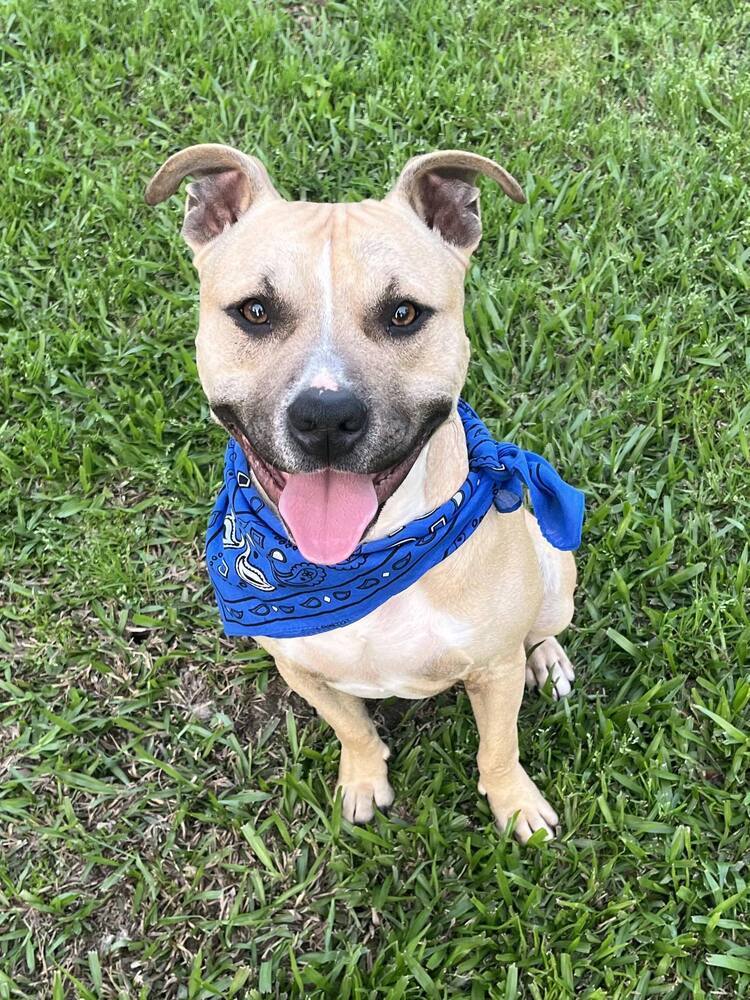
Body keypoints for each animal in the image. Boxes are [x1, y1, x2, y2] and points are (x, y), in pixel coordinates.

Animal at [148, 143, 580, 844]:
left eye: (403, 314)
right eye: (255, 311)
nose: (326, 418)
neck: (357, 563)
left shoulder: (493, 669)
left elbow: (498, 747)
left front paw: (515, 805)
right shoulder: (301, 670)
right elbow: (351, 727)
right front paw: (363, 780)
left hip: (555, 572)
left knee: (542, 629)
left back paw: (548, 659)